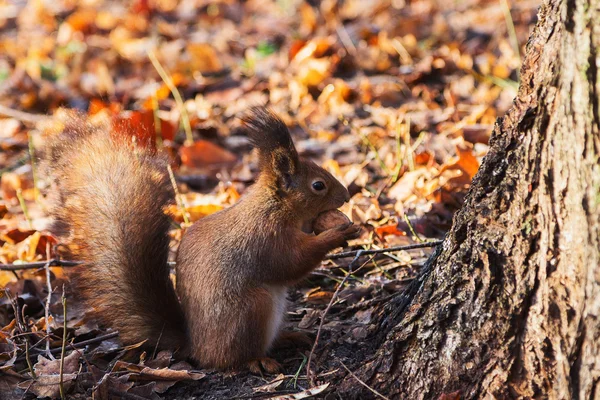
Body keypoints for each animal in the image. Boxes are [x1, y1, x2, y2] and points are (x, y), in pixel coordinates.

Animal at [44, 106, 360, 372]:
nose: (346, 196)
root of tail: (197, 347)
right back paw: (258, 360)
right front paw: (337, 234)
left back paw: (288, 337)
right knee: (231, 359)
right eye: (318, 185)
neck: (275, 207)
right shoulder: (265, 238)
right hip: (251, 309)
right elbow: (291, 263)